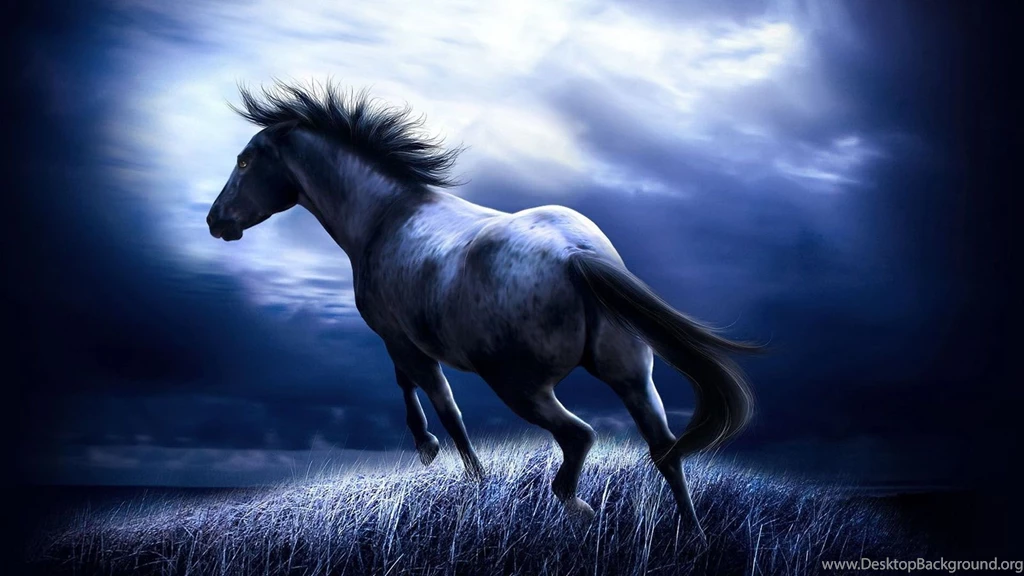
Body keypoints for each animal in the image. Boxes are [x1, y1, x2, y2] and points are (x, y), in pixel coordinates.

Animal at [206, 81, 761, 534]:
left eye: (245, 162)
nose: (216, 221)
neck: (386, 215)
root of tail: (578, 256)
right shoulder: (405, 343)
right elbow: (418, 391)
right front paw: (439, 456)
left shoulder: (402, 341)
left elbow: (441, 404)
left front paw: (455, 466)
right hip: (632, 377)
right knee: (665, 451)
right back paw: (692, 535)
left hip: (519, 385)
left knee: (579, 437)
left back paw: (577, 507)